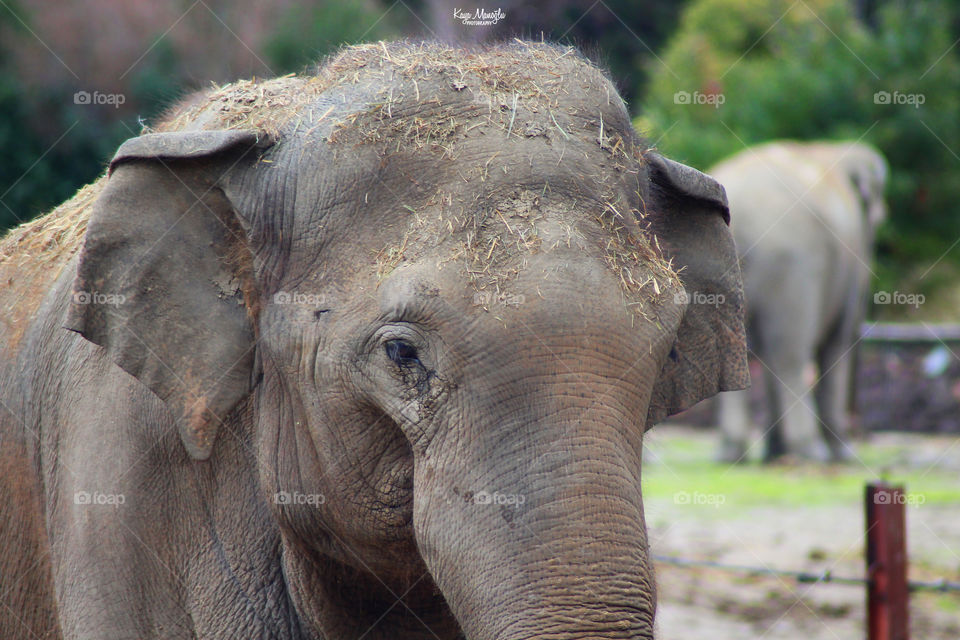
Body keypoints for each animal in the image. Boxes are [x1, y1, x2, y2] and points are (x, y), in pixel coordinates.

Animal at [710, 140, 887, 463]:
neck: (831, 149)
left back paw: (733, 453)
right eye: (878, 221)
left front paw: (774, 453)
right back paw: (812, 451)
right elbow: (836, 344)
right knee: (791, 353)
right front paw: (843, 455)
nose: (862, 433)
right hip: (794, 264)